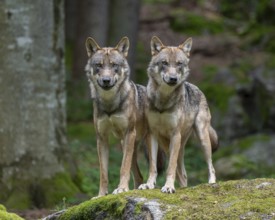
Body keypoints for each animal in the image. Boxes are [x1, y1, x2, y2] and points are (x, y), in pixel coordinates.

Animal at [85, 37, 148, 197]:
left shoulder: (129, 134)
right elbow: (103, 173)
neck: (110, 104)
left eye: (114, 65)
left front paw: (122, 189)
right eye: (99, 65)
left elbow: (123, 168)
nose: (106, 80)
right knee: (139, 176)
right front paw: (101, 195)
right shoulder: (101, 138)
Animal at [139, 37, 219, 193]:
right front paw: (149, 184)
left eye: (179, 64)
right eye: (164, 63)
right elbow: (153, 166)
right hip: (169, 146)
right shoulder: (152, 134)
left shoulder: (175, 135)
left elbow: (170, 167)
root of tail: (197, 88)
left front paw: (169, 187)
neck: (163, 100)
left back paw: (211, 183)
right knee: (183, 174)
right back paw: (183, 187)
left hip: (202, 138)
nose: (173, 78)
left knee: (211, 166)